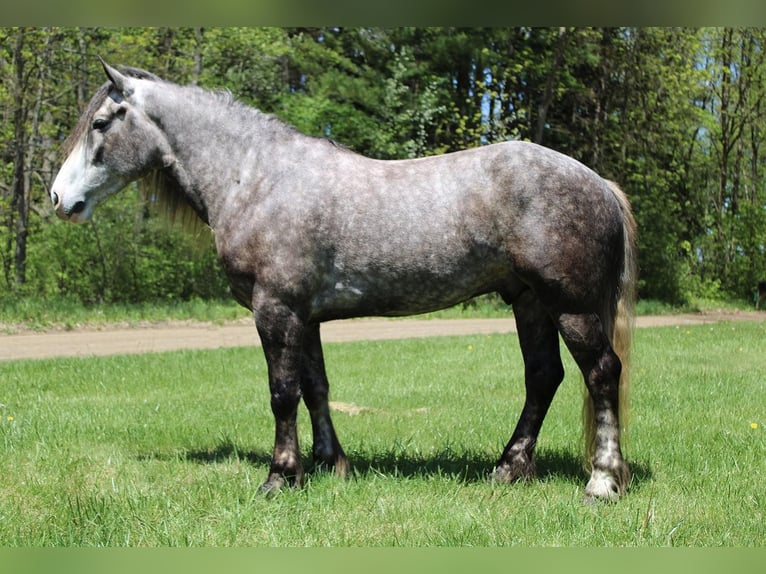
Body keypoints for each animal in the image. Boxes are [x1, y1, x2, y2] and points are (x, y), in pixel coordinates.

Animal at [51, 59, 638, 501]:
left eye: (101, 123)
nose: (59, 198)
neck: (255, 177)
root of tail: (599, 183)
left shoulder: (276, 310)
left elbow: (282, 393)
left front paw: (279, 476)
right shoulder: (304, 316)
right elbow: (316, 388)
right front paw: (330, 463)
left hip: (571, 306)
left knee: (601, 373)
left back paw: (602, 482)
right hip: (529, 302)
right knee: (543, 377)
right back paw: (509, 468)